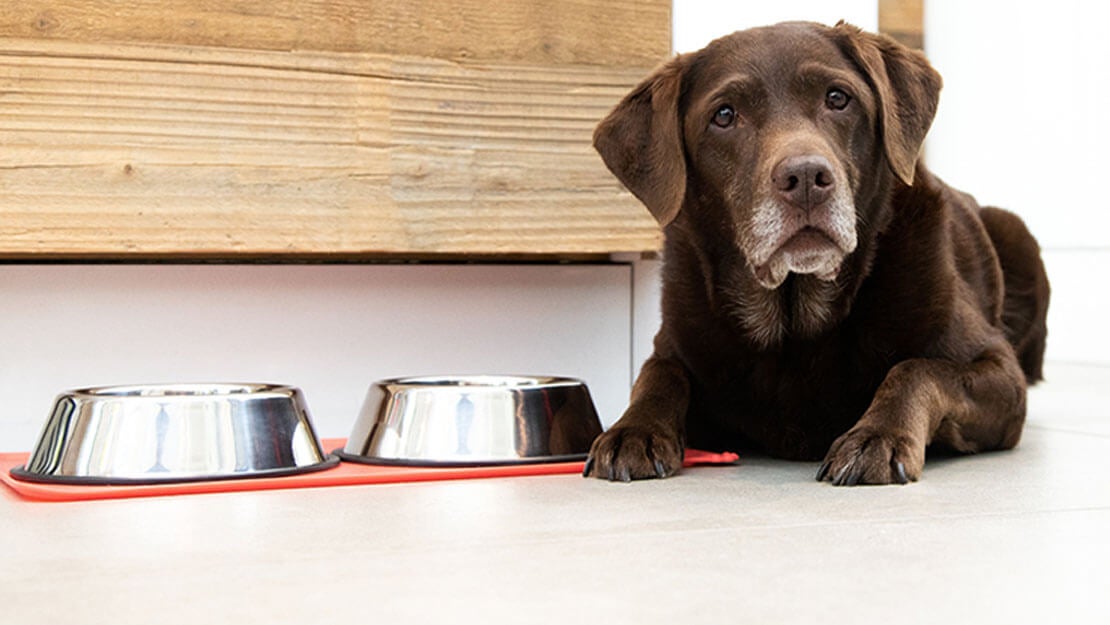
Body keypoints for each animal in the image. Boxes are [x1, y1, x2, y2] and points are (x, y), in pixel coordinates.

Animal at [581, 22, 1047, 486]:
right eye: (725, 116)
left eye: (837, 98)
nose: (806, 177)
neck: (794, 324)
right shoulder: (675, 345)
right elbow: (658, 375)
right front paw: (633, 431)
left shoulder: (1000, 372)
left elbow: (917, 369)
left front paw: (876, 436)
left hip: (1018, 236)